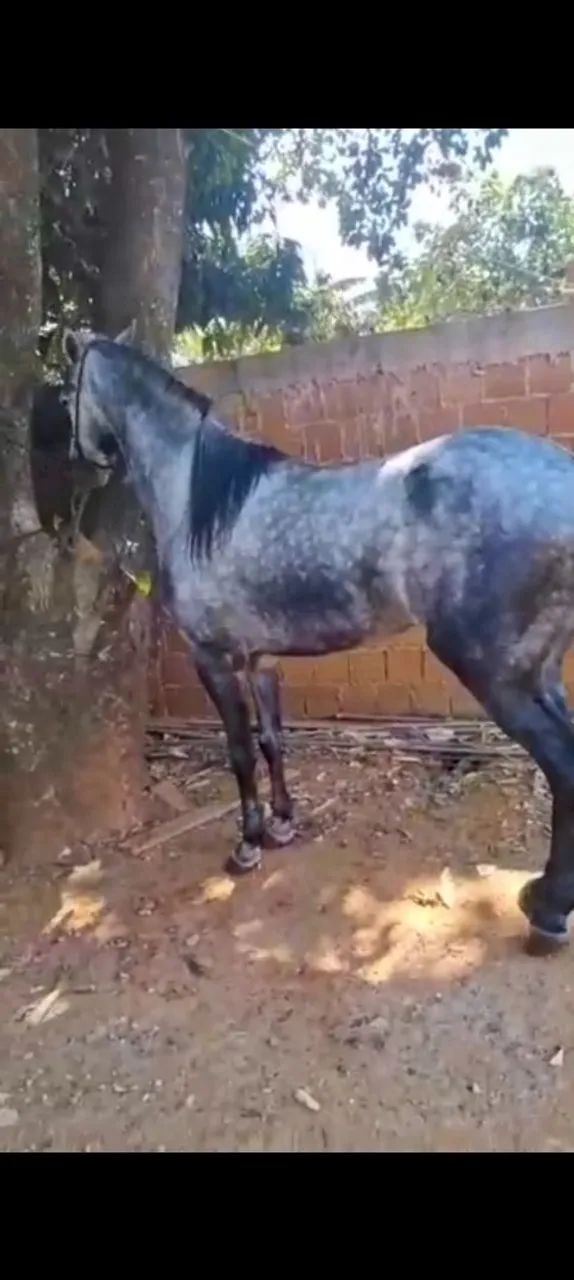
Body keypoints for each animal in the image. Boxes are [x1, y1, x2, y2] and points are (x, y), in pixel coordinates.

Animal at [64, 325, 574, 955]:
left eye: (67, 390)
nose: (76, 467)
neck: (198, 500)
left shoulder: (213, 658)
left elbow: (238, 750)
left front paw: (248, 845)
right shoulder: (260, 660)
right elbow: (272, 741)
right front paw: (283, 823)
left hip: (495, 674)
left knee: (562, 768)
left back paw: (546, 913)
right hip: (541, 670)